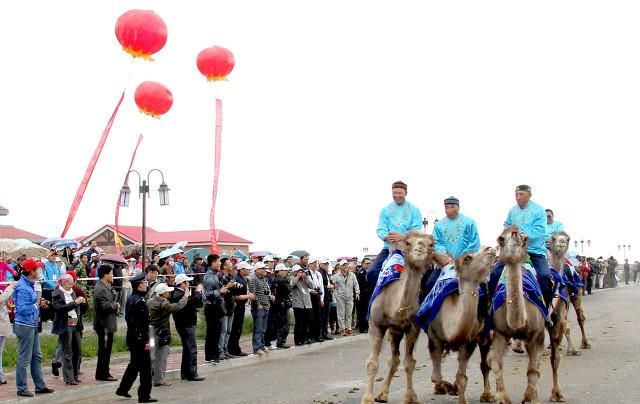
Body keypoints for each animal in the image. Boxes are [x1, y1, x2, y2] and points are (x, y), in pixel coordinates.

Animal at [362, 230, 432, 404]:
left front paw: (411, 397)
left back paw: (383, 394)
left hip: (397, 331)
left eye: (431, 244)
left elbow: (409, 363)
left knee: (394, 360)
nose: (420, 248)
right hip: (392, 330)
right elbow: (372, 363)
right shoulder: (375, 325)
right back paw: (381, 395)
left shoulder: (413, 328)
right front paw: (367, 398)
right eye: (408, 242)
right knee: (392, 359)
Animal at [428, 246, 498, 404]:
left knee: (484, 365)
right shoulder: (434, 338)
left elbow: (462, 377)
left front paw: (456, 390)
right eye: (467, 258)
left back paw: (487, 394)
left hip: (485, 335)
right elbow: (436, 377)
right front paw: (446, 387)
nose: (489, 248)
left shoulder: (469, 341)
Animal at [492, 227, 548, 404]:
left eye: (519, 235)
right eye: (501, 238)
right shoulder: (500, 333)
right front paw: (502, 398)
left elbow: (533, 370)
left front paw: (530, 398)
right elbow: (496, 364)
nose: (510, 252)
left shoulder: (537, 335)